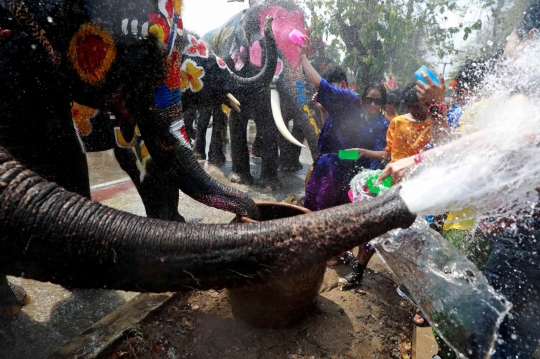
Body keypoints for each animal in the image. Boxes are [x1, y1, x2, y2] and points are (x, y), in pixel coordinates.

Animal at [202, 0, 320, 190]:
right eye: (265, 48)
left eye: (305, 50)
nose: (310, 178)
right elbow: (237, 114)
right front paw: (240, 180)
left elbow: (269, 119)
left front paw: (270, 185)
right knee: (217, 113)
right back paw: (214, 160)